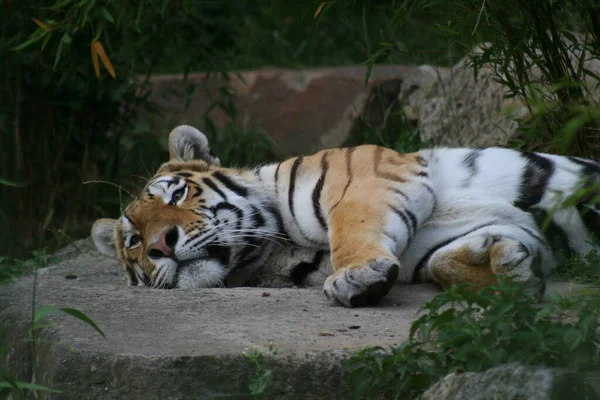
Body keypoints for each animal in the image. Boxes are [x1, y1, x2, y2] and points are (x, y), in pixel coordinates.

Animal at [91, 125, 600, 306]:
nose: (160, 245)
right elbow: (443, 261)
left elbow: (350, 229)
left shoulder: (366, 179)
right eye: (134, 241)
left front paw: (356, 277)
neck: (271, 251)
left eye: (176, 194)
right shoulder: (499, 227)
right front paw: (507, 269)